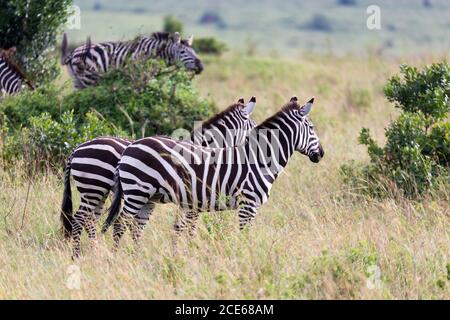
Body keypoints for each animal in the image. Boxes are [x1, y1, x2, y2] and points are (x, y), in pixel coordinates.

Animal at [60, 31, 204, 89]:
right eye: (183, 52)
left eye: (195, 52)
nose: (201, 67)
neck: (153, 52)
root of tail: (73, 53)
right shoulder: (137, 73)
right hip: (89, 79)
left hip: (77, 81)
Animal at [62, 97, 256, 258]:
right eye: (254, 129)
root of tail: (76, 149)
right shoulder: (193, 200)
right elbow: (189, 228)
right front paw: (189, 251)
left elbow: (180, 227)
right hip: (94, 188)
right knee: (80, 219)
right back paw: (77, 255)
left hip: (97, 192)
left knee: (90, 221)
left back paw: (94, 251)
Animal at [103, 96, 324, 249]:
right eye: (312, 128)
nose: (321, 154)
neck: (259, 160)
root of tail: (129, 148)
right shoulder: (247, 204)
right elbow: (243, 236)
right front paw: (245, 257)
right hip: (136, 192)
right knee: (120, 225)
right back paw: (118, 259)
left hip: (148, 197)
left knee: (135, 228)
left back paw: (136, 258)